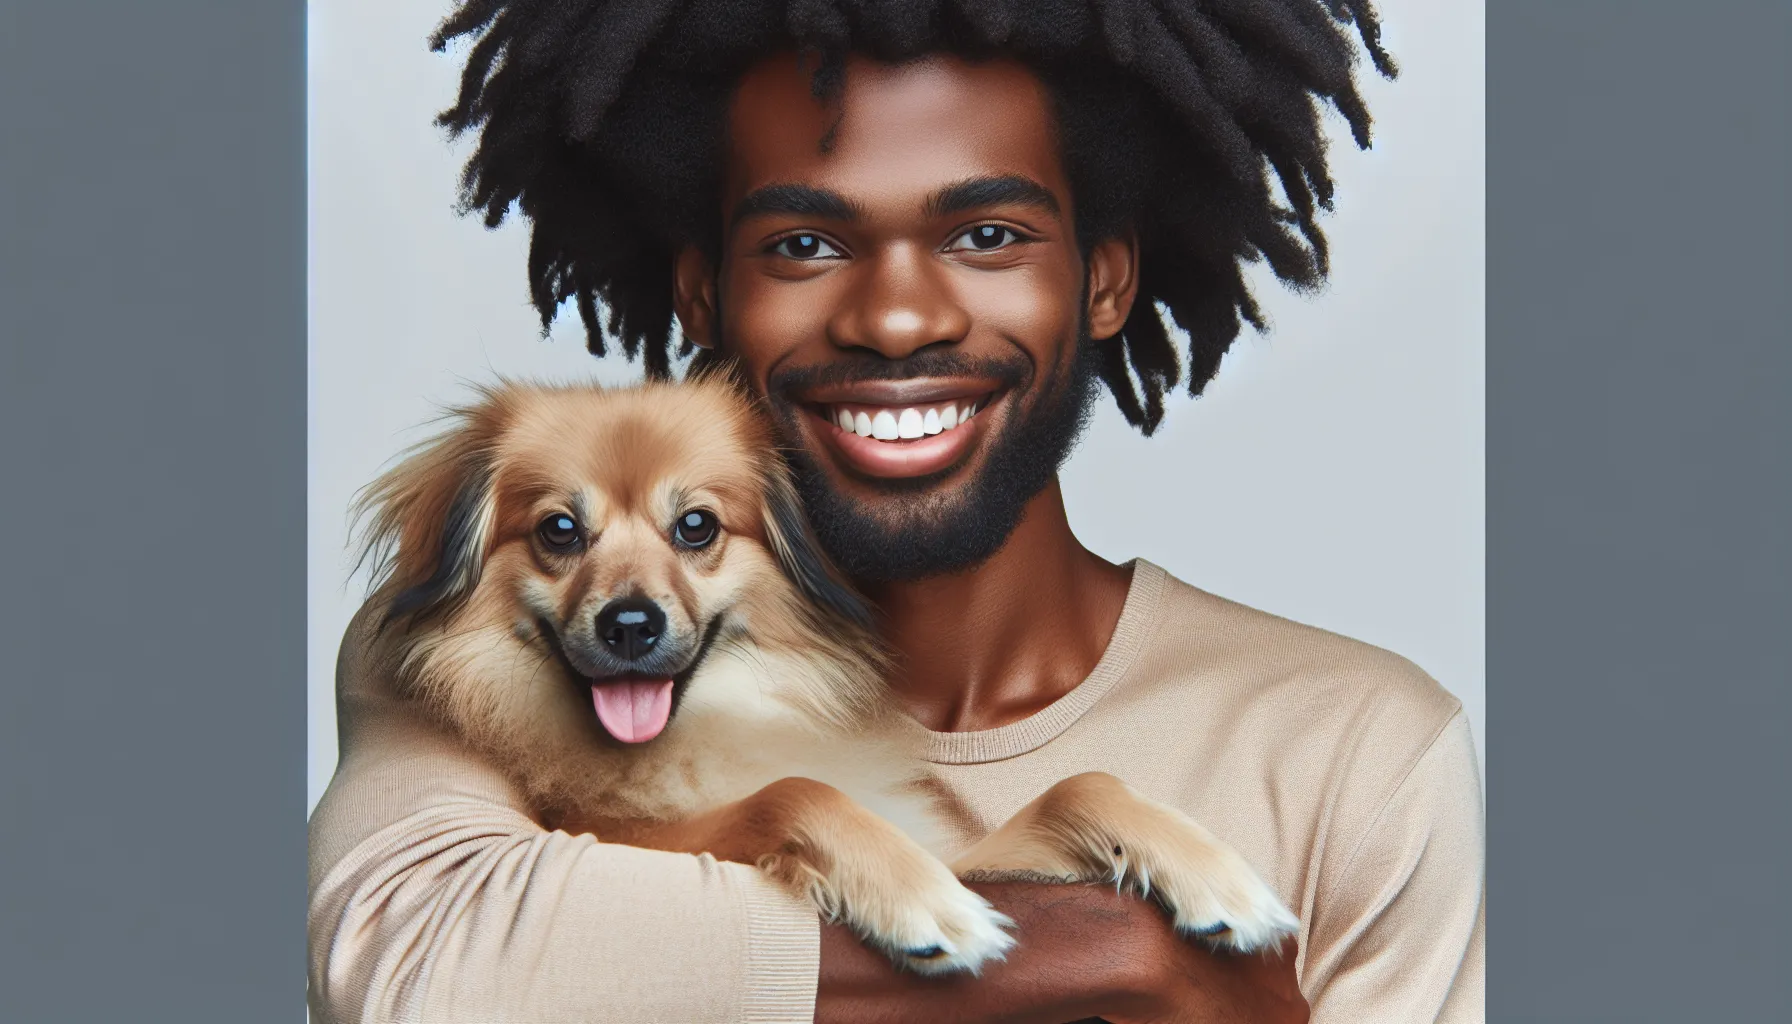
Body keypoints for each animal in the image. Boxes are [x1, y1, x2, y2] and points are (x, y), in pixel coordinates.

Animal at [353, 376, 1304, 975]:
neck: (720, 723)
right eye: (559, 530)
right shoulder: (641, 846)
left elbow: (1079, 786)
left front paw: (1211, 874)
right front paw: (920, 902)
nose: (629, 625)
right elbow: (794, 793)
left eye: (696, 527)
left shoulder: (971, 844)